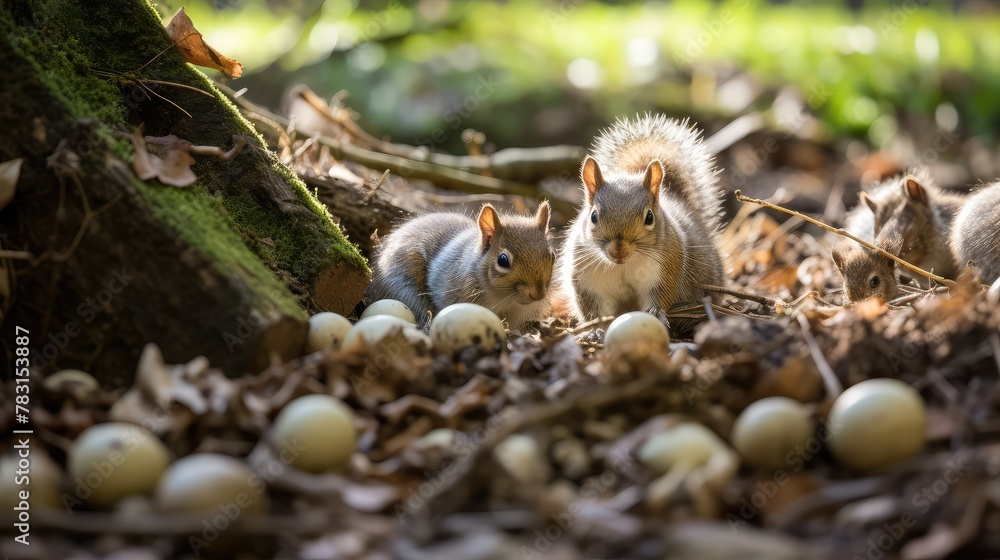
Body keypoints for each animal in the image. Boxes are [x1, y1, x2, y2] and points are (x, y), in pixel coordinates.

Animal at [555, 114, 725, 320]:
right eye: (593, 216)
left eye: (649, 217)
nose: (619, 252)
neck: (623, 265)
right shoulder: (587, 277)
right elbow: (593, 306)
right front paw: (596, 324)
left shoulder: (665, 268)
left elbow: (661, 295)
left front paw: (655, 312)